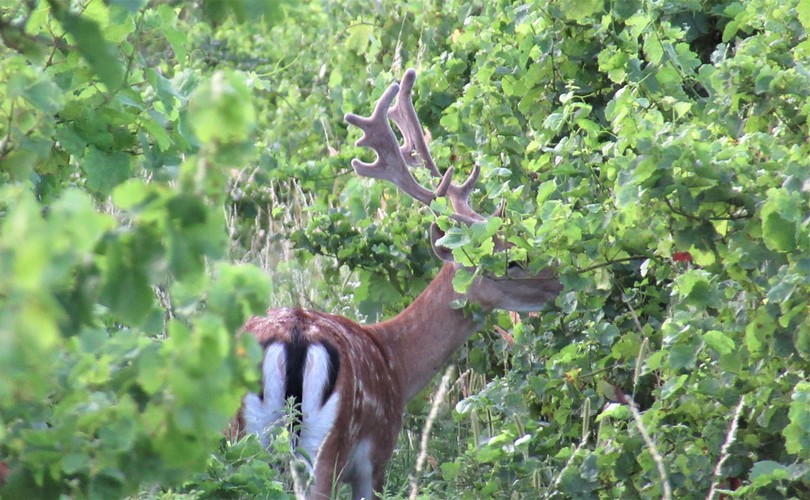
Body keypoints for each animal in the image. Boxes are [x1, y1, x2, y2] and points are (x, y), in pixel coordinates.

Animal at [237, 68, 560, 498]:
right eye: (511, 261)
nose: (558, 281)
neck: (397, 364)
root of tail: (294, 340)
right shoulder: (376, 457)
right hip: (325, 446)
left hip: (241, 438)